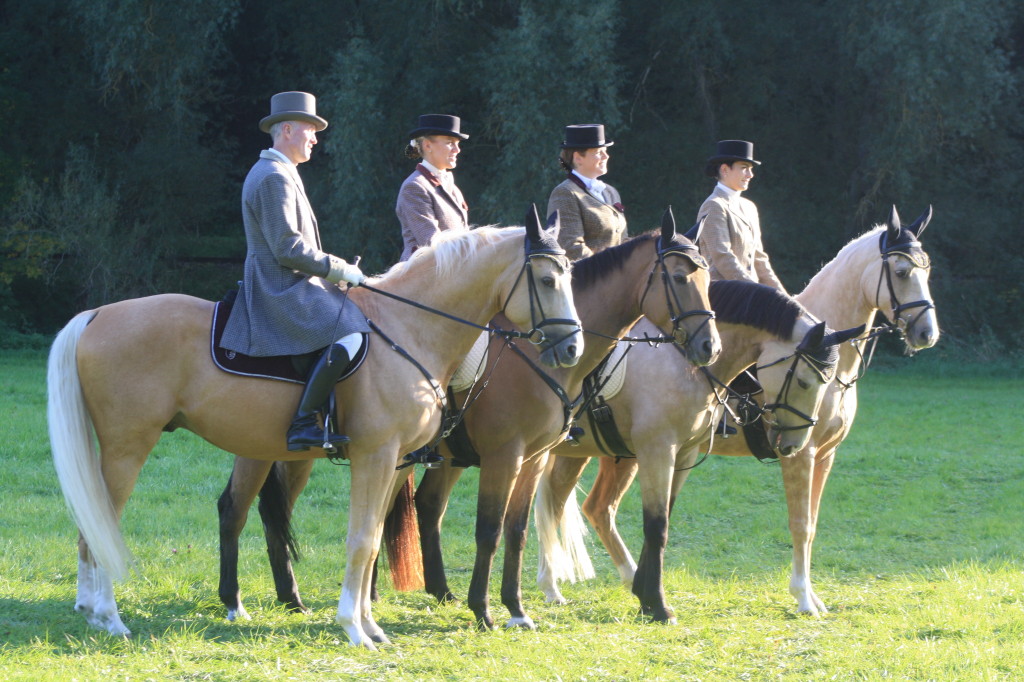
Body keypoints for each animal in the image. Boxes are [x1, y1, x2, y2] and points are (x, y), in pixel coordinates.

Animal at [48, 208, 585, 647]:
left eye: (570, 276)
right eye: (545, 279)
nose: (572, 349)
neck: (410, 328)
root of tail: (97, 314)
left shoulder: (395, 461)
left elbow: (370, 539)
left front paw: (370, 625)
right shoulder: (380, 455)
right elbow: (363, 540)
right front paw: (355, 628)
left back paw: (95, 610)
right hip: (128, 448)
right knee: (104, 524)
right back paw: (111, 618)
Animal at [532, 278, 860, 618]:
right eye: (804, 382)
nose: (793, 443)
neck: (681, 361)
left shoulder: (684, 454)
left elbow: (663, 517)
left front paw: (646, 596)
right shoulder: (659, 451)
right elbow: (658, 525)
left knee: (575, 507)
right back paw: (552, 586)